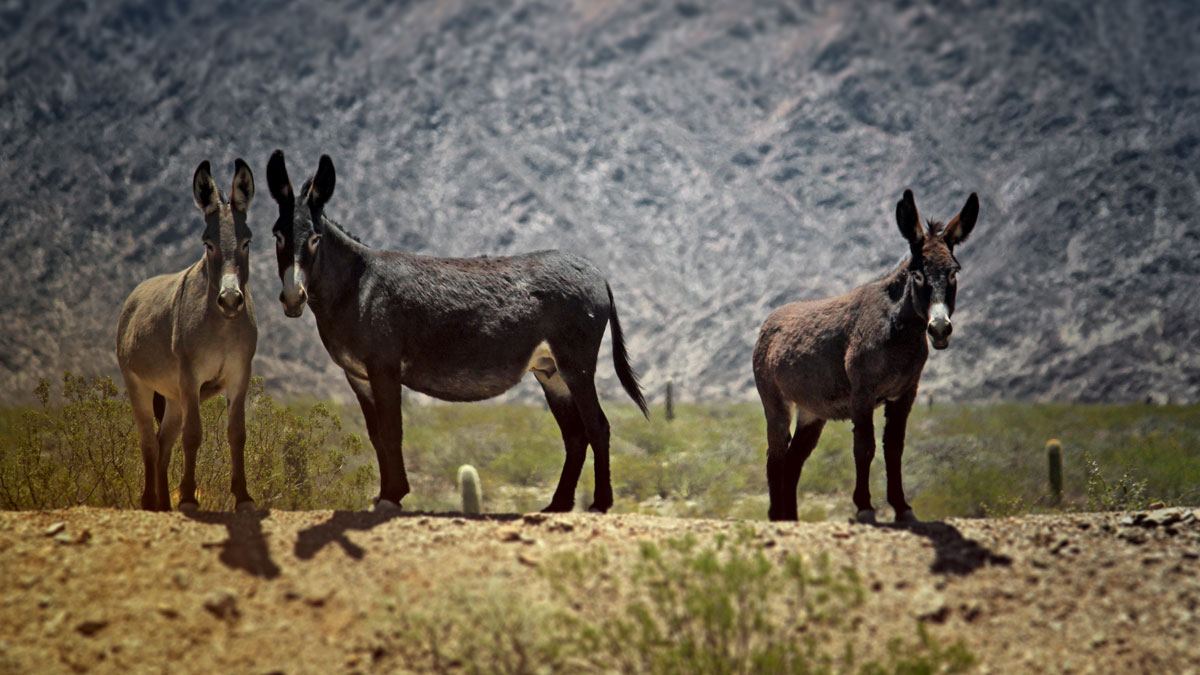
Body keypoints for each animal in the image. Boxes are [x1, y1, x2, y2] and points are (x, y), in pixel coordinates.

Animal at [116, 159, 258, 512]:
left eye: (247, 242)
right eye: (208, 243)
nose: (230, 299)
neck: (222, 327)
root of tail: (134, 297)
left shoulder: (240, 374)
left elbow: (237, 433)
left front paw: (243, 497)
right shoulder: (190, 376)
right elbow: (193, 436)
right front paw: (190, 498)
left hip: (174, 396)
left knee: (164, 442)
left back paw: (164, 503)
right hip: (139, 384)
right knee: (149, 442)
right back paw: (150, 502)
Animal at [264, 150, 647, 513]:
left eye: (315, 239)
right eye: (277, 235)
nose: (293, 298)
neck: (355, 285)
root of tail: (597, 273)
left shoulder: (383, 369)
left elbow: (391, 432)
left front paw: (392, 496)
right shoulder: (357, 375)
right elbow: (376, 436)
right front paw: (386, 495)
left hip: (576, 365)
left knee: (598, 427)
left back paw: (599, 504)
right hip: (551, 372)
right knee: (575, 435)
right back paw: (558, 505)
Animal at [753, 189, 979, 523]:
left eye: (953, 273)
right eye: (917, 274)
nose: (939, 329)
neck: (898, 331)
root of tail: (770, 322)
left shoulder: (905, 395)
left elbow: (894, 448)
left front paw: (902, 507)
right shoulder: (862, 393)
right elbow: (864, 447)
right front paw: (864, 507)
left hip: (812, 412)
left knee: (793, 462)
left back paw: (791, 518)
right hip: (776, 403)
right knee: (776, 456)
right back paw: (778, 517)